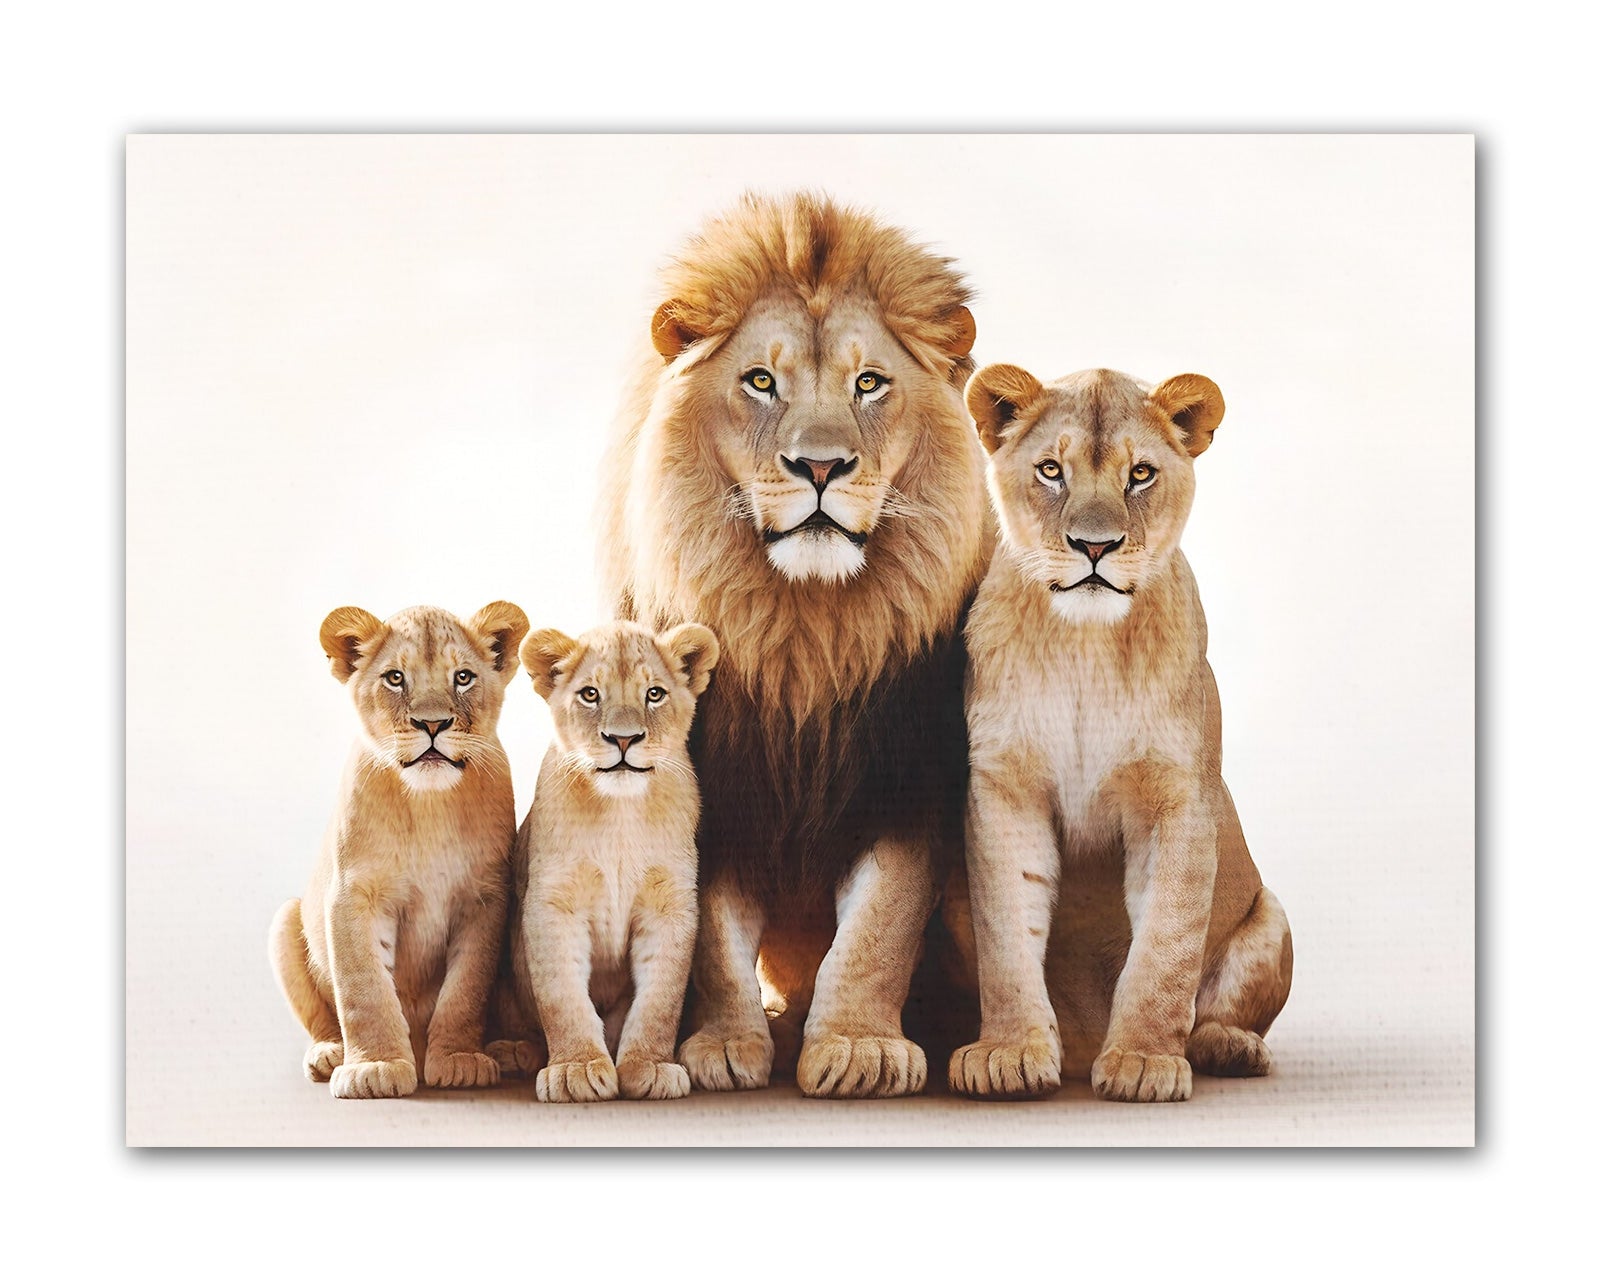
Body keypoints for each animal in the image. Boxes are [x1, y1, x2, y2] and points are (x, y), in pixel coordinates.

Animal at [268, 601, 530, 1099]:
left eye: (463, 677)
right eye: (394, 678)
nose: (432, 724)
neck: (428, 804)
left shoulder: (485, 897)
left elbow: (466, 989)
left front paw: (460, 1060)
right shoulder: (353, 894)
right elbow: (365, 988)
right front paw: (375, 1067)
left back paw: (508, 1051)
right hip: (284, 919)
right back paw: (328, 1054)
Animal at [488, 620, 719, 1102]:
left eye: (654, 694)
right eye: (590, 694)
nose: (624, 739)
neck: (620, 813)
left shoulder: (671, 904)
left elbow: (661, 998)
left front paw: (648, 1065)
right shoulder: (553, 903)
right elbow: (562, 995)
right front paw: (574, 1068)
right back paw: (513, 1050)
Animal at [597, 192, 991, 1098]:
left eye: (869, 383)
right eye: (761, 381)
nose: (821, 467)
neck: (803, 637)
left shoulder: (910, 785)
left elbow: (879, 927)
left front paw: (858, 1047)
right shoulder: (711, 785)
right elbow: (711, 935)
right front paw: (722, 1045)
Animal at [947, 365, 1293, 1102]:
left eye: (1140, 474)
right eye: (1051, 470)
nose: (1095, 546)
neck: (1087, 646)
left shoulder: (1178, 797)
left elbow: (1166, 943)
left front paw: (1143, 1060)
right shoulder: (1003, 788)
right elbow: (1007, 936)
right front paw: (1008, 1052)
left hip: (1271, 914)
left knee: (1223, 1007)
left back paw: (1227, 1046)